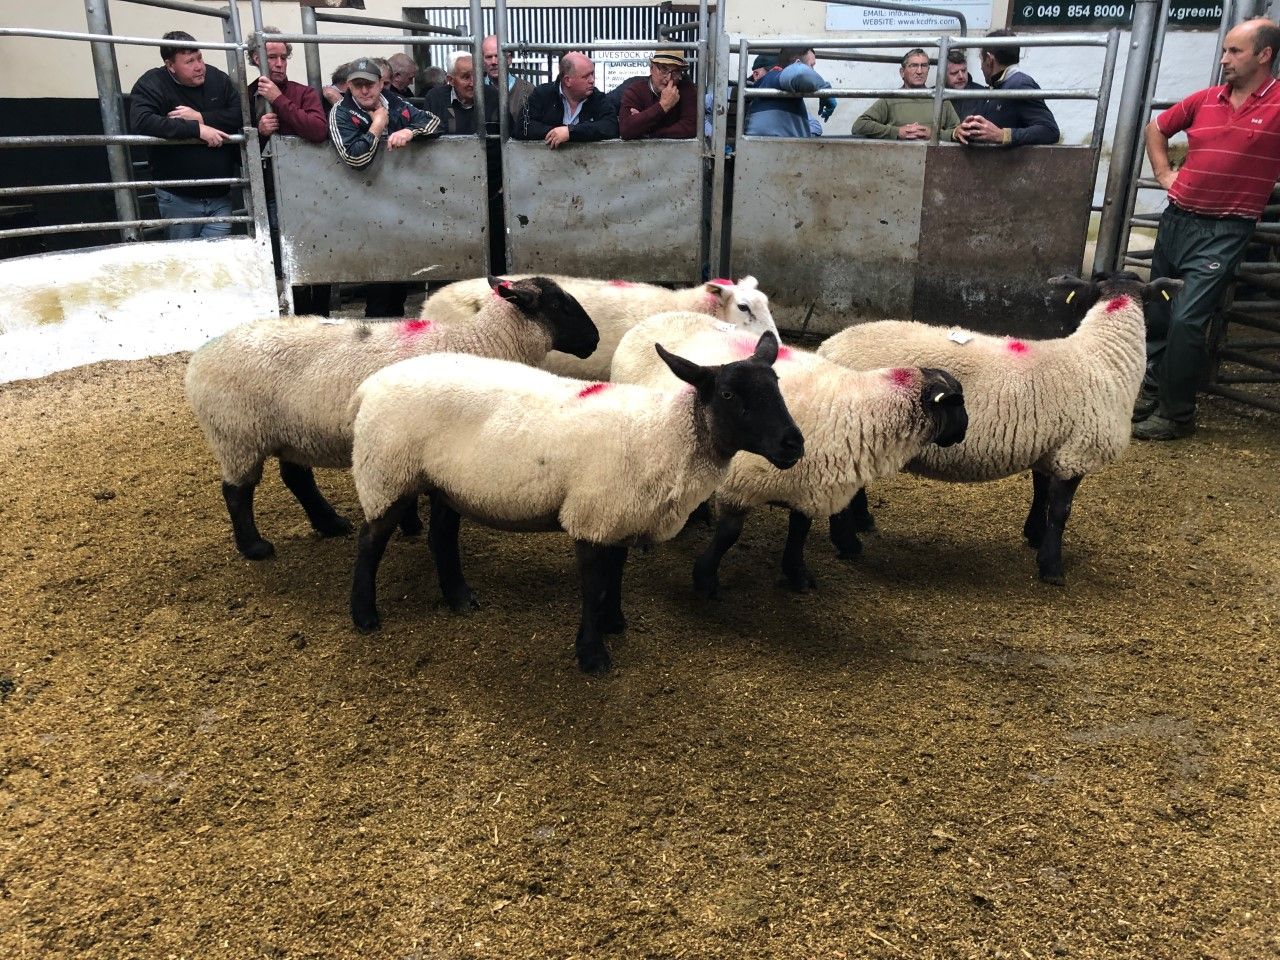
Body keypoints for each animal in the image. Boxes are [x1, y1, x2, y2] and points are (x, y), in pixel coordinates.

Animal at [186, 275, 598, 560]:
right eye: (560, 304)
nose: (594, 340)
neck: (479, 343)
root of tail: (198, 361)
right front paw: (413, 524)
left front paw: (410, 524)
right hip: (236, 433)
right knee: (236, 492)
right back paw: (254, 547)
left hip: (290, 431)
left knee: (297, 478)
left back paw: (330, 524)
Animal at [347, 332, 804, 675]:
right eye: (727, 394)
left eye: (778, 386)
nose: (794, 444)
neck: (662, 433)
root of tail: (370, 386)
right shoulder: (592, 516)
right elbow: (593, 585)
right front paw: (593, 653)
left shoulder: (619, 512)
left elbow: (616, 574)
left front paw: (614, 622)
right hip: (386, 471)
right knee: (370, 543)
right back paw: (364, 615)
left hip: (445, 482)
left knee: (441, 536)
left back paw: (459, 597)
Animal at [610, 312, 967, 597]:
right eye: (955, 402)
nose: (963, 431)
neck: (859, 408)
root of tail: (653, 318)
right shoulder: (739, 486)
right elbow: (729, 534)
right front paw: (705, 579)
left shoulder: (806, 486)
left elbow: (798, 534)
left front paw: (797, 574)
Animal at [816, 272, 1184, 585]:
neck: (1103, 354)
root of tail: (827, 347)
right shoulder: (1077, 450)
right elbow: (1061, 510)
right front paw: (1052, 568)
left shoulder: (1051, 446)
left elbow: (1041, 493)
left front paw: (1035, 536)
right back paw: (849, 545)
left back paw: (863, 522)